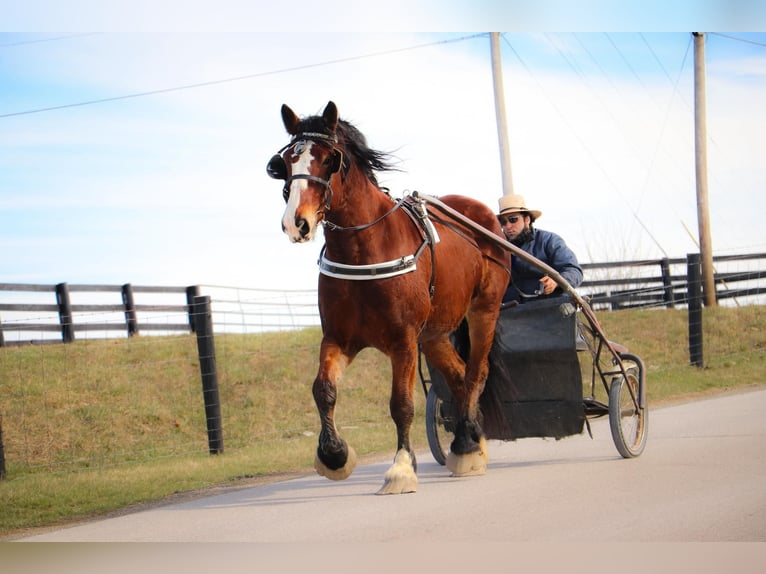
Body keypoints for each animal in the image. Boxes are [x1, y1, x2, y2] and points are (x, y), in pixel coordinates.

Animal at [268, 102, 512, 496]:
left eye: (329, 159)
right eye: (286, 161)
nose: (297, 222)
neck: (363, 251)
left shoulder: (403, 340)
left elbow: (401, 404)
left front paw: (400, 468)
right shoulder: (339, 338)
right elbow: (323, 390)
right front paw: (334, 455)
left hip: (484, 311)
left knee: (476, 373)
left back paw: (466, 444)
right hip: (435, 333)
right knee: (459, 376)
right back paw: (470, 440)